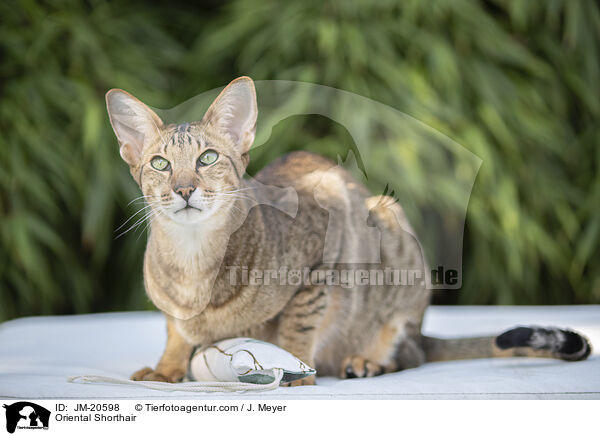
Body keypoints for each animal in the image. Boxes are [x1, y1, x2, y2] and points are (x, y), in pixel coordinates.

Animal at [104, 76, 592, 386]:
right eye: (160, 164)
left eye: (207, 158)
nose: (184, 188)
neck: (194, 266)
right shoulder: (171, 310)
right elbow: (175, 330)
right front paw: (168, 367)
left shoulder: (325, 251)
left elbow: (298, 326)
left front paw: (296, 370)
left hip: (392, 238)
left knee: (409, 353)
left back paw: (369, 361)